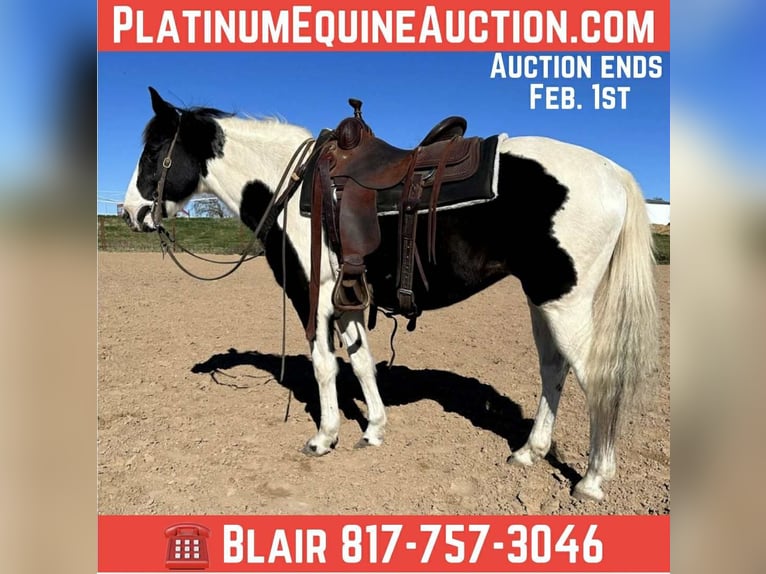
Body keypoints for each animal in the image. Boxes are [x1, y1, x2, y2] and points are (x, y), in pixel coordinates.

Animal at [121, 87, 659, 501]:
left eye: (152, 153)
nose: (131, 213)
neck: (293, 187)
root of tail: (614, 173)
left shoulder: (313, 298)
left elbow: (324, 366)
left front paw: (324, 438)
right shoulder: (347, 300)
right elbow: (360, 364)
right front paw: (374, 429)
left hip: (563, 301)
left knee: (596, 378)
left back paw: (592, 480)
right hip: (542, 300)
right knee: (554, 369)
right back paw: (529, 452)